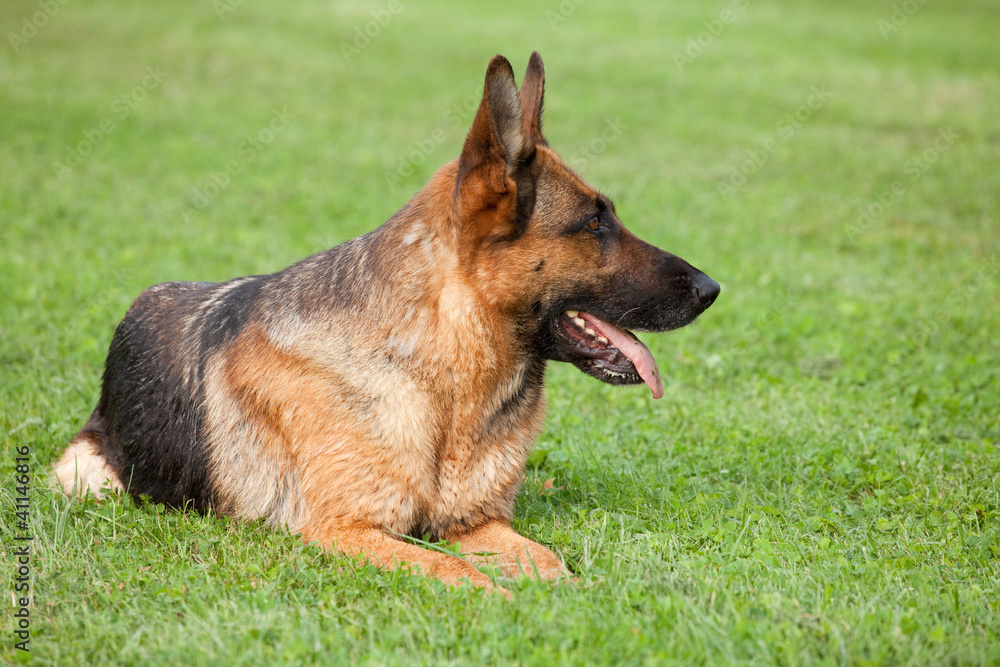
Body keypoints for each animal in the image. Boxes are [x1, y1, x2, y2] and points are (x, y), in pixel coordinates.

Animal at [54, 53, 720, 596]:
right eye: (593, 223)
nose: (712, 289)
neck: (444, 379)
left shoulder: (477, 522)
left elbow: (552, 564)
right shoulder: (347, 529)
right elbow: (460, 573)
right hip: (88, 477)